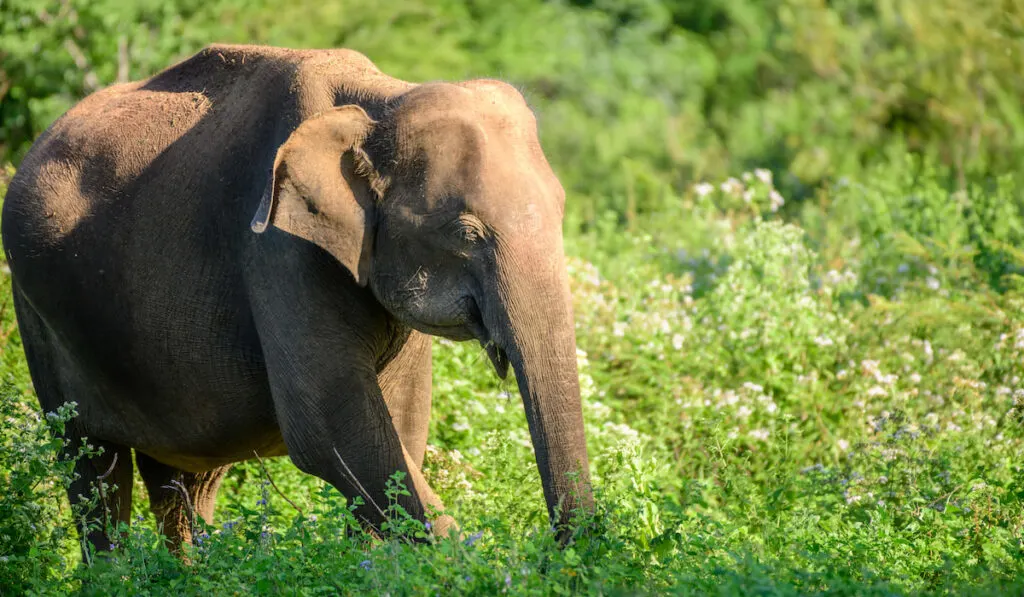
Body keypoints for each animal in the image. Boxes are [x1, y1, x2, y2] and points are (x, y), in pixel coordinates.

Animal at [0, 45, 593, 557]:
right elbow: (331, 427)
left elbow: (401, 427)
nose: (554, 554)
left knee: (184, 479)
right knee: (90, 465)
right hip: (37, 315)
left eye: (562, 209)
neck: (382, 99)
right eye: (466, 232)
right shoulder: (278, 248)